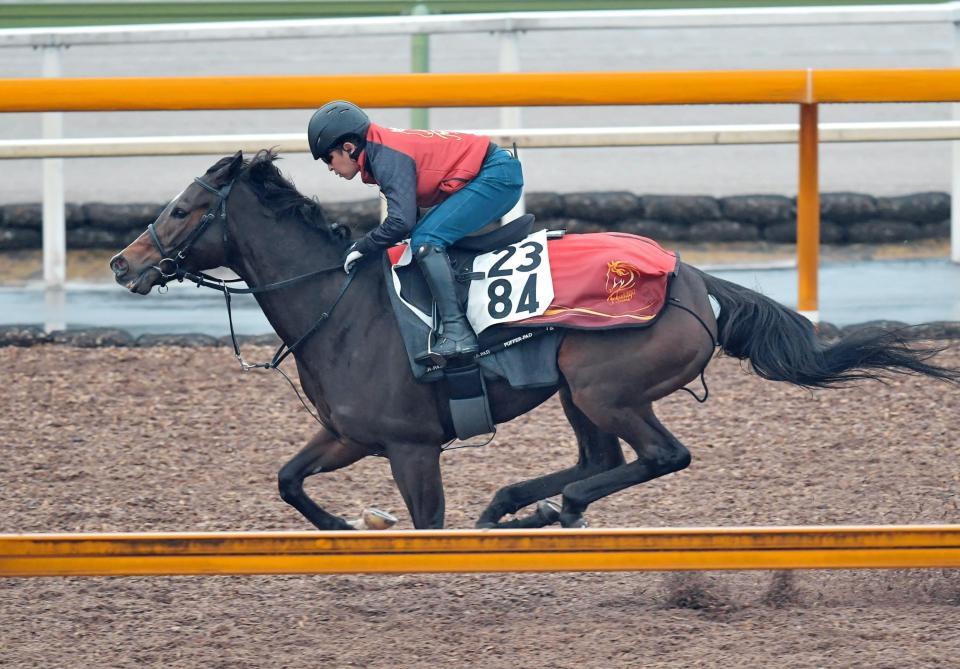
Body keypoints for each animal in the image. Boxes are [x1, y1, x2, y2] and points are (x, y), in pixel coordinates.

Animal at [109, 150, 956, 528]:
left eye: (183, 208)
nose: (124, 262)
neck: (340, 306)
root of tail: (691, 278)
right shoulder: (350, 432)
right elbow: (289, 479)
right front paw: (350, 526)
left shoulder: (411, 447)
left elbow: (425, 523)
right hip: (580, 389)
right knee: (599, 458)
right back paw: (516, 503)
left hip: (605, 384)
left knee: (659, 455)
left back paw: (550, 508)